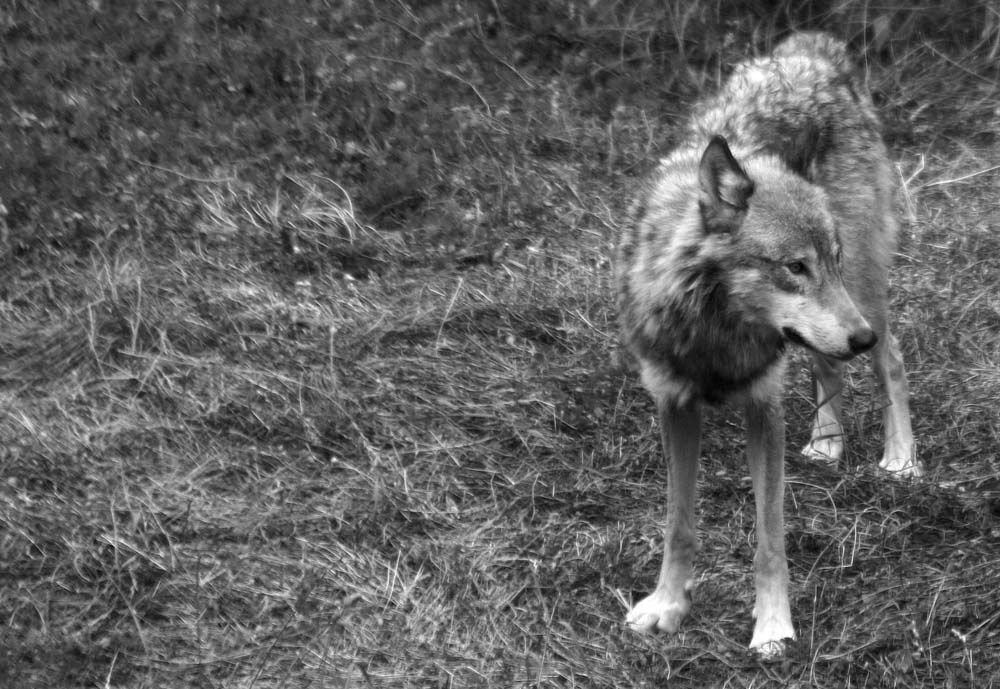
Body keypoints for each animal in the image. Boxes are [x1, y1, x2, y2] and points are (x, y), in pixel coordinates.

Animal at [616, 32, 920, 656]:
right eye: (795, 267)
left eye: (827, 259)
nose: (861, 337)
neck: (716, 327)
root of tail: (810, 50)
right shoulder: (674, 405)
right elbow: (679, 524)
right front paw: (667, 606)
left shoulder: (763, 406)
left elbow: (769, 536)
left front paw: (773, 627)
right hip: (832, 328)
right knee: (831, 368)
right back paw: (827, 444)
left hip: (865, 291)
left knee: (892, 362)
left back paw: (900, 457)